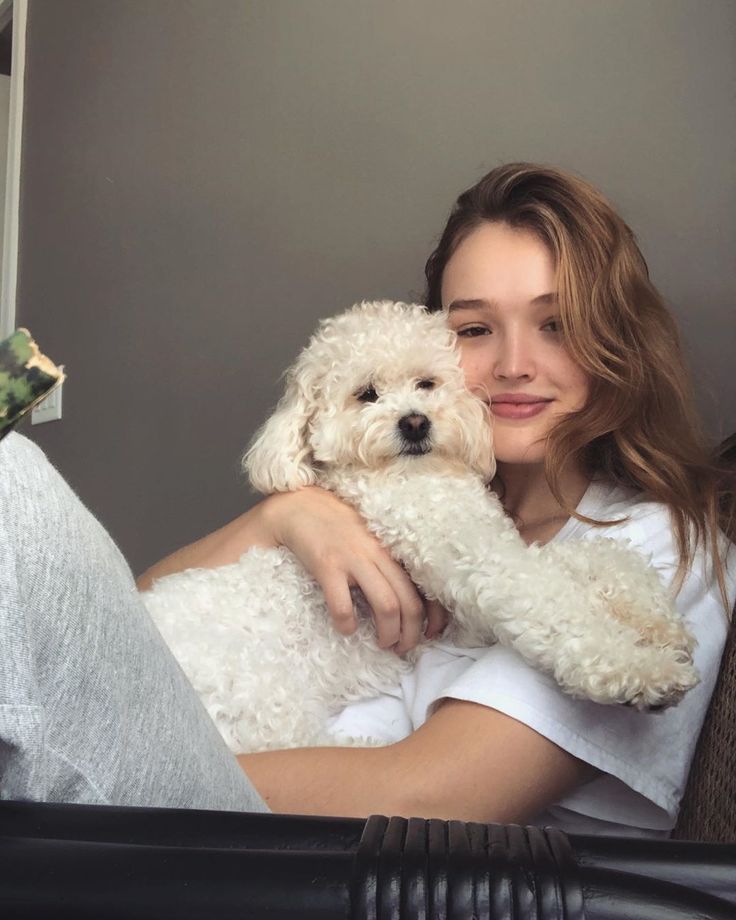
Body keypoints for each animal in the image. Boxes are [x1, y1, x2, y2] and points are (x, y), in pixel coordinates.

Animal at [142, 302, 696, 756]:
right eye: (366, 395)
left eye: (427, 384)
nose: (414, 423)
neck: (414, 477)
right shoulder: (484, 569)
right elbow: (557, 607)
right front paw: (644, 671)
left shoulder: (477, 588)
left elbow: (590, 556)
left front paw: (656, 620)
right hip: (260, 693)